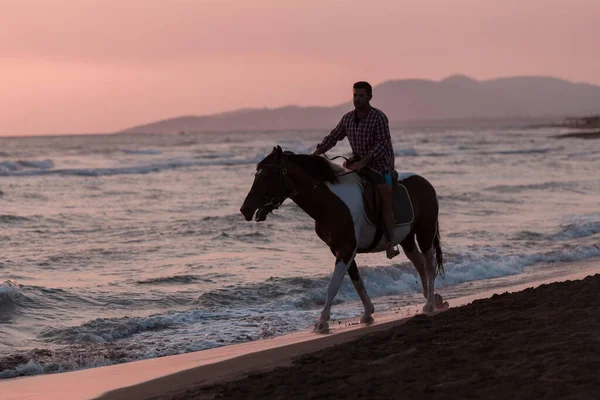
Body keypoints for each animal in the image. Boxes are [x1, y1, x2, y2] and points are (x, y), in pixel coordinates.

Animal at [239, 146, 446, 332]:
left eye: (266, 177)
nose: (245, 209)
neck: (330, 204)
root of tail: (425, 182)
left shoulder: (346, 249)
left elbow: (333, 285)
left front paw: (322, 322)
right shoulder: (340, 249)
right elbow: (356, 281)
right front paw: (367, 313)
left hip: (425, 232)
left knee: (429, 264)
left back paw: (429, 304)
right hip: (407, 238)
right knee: (418, 262)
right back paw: (433, 297)